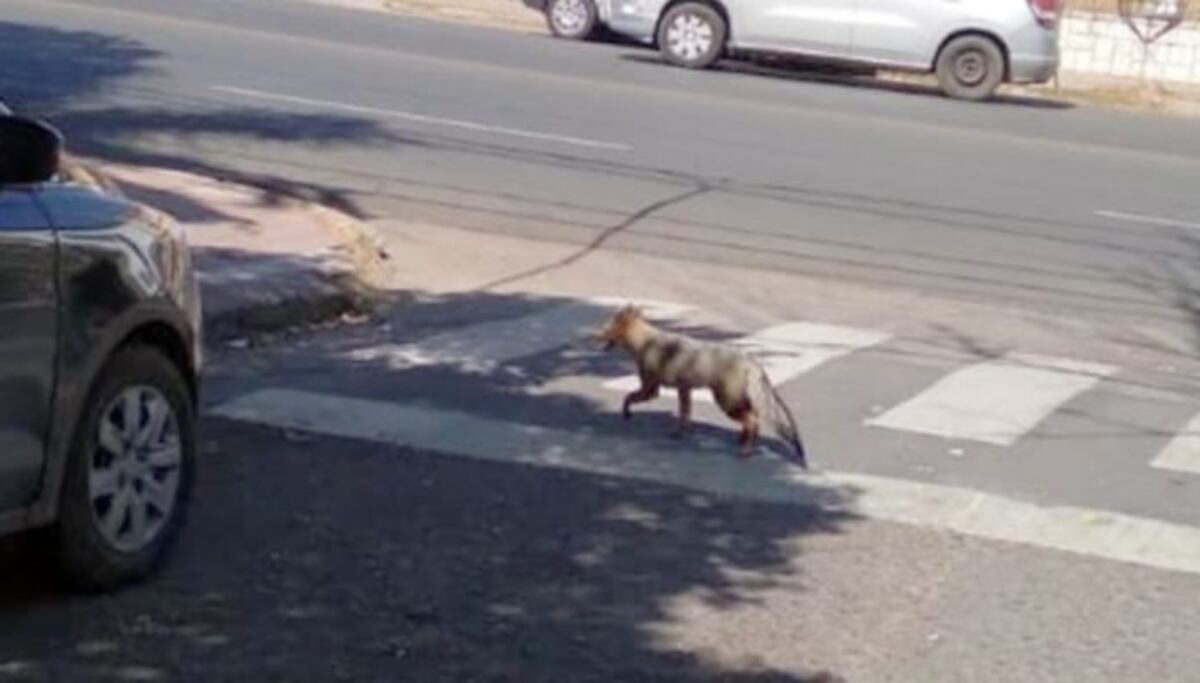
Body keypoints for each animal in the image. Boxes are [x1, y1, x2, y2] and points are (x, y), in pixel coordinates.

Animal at [596, 304, 808, 469]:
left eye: (604, 329)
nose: (592, 335)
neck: (646, 342)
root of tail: (751, 361)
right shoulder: (684, 389)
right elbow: (685, 415)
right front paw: (681, 433)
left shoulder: (651, 389)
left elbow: (627, 397)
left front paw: (626, 414)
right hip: (735, 401)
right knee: (752, 419)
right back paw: (743, 441)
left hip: (726, 403)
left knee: (752, 421)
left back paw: (745, 450)